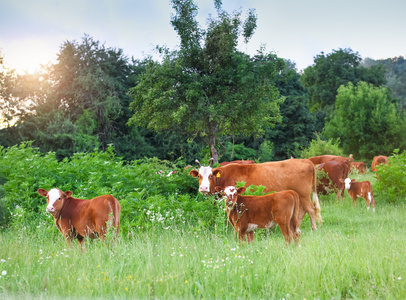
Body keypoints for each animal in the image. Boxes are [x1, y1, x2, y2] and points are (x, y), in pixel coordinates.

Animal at [190, 157, 324, 230]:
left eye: (211, 175)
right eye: (199, 176)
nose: (203, 188)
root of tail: (306, 161)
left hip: (303, 194)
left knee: (310, 209)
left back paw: (314, 228)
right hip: (299, 196)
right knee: (302, 210)